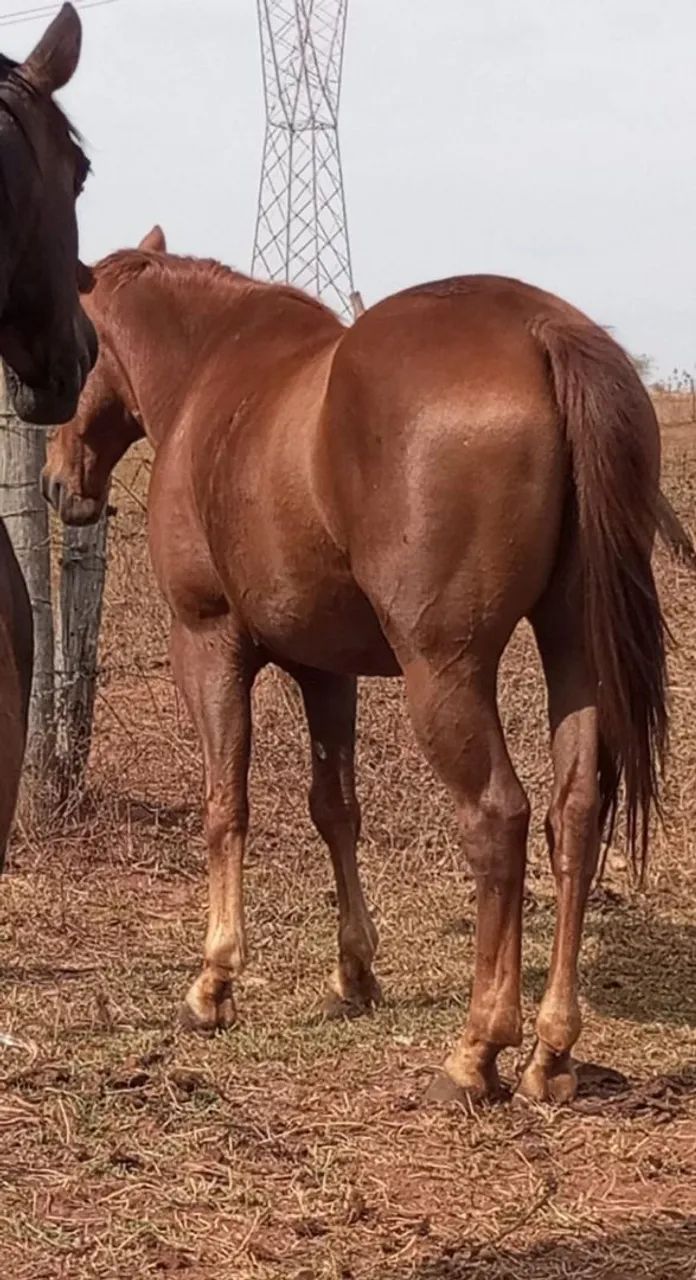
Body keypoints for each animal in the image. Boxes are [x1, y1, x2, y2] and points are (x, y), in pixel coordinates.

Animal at [43, 226, 667, 1105]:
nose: (56, 484)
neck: (210, 370)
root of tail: (544, 331)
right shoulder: (325, 671)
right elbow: (335, 810)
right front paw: (354, 974)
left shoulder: (208, 645)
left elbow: (224, 806)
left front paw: (213, 984)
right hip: (574, 649)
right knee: (572, 815)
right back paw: (550, 1052)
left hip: (445, 673)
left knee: (498, 820)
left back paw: (477, 1050)